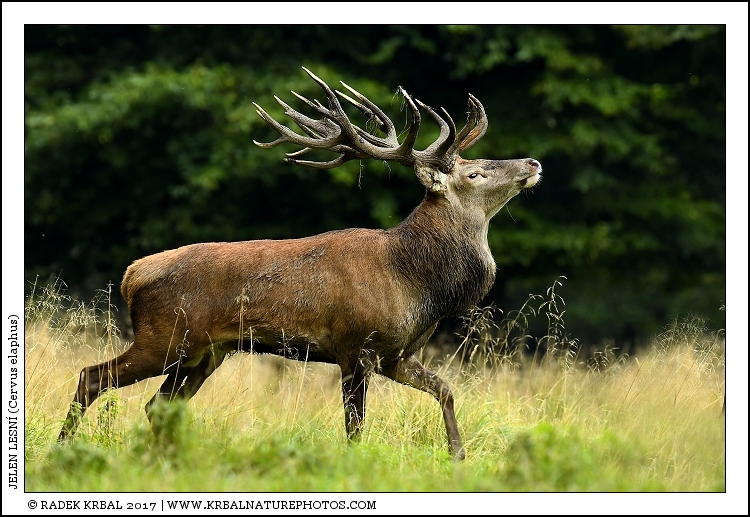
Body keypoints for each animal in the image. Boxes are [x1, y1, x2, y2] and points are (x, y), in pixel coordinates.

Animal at [57, 67, 542, 460]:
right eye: (474, 172)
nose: (533, 161)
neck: (415, 281)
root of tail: (131, 275)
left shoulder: (397, 355)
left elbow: (446, 390)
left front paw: (458, 454)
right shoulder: (355, 346)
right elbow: (354, 429)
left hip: (205, 352)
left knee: (158, 405)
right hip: (165, 336)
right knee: (91, 377)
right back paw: (61, 449)